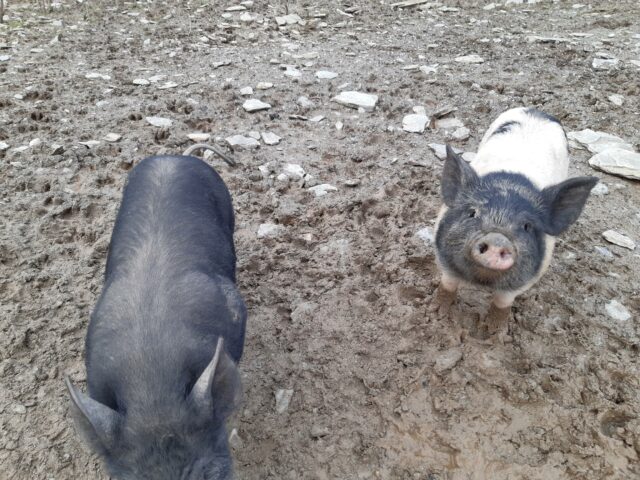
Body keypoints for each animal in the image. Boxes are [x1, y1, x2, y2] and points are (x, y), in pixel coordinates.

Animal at [431, 107, 598, 334]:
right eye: (472, 213)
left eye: (527, 226)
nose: (498, 239)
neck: (483, 280)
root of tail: (536, 111)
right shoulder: (443, 258)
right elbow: (448, 285)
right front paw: (436, 314)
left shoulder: (528, 278)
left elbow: (503, 302)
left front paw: (494, 333)